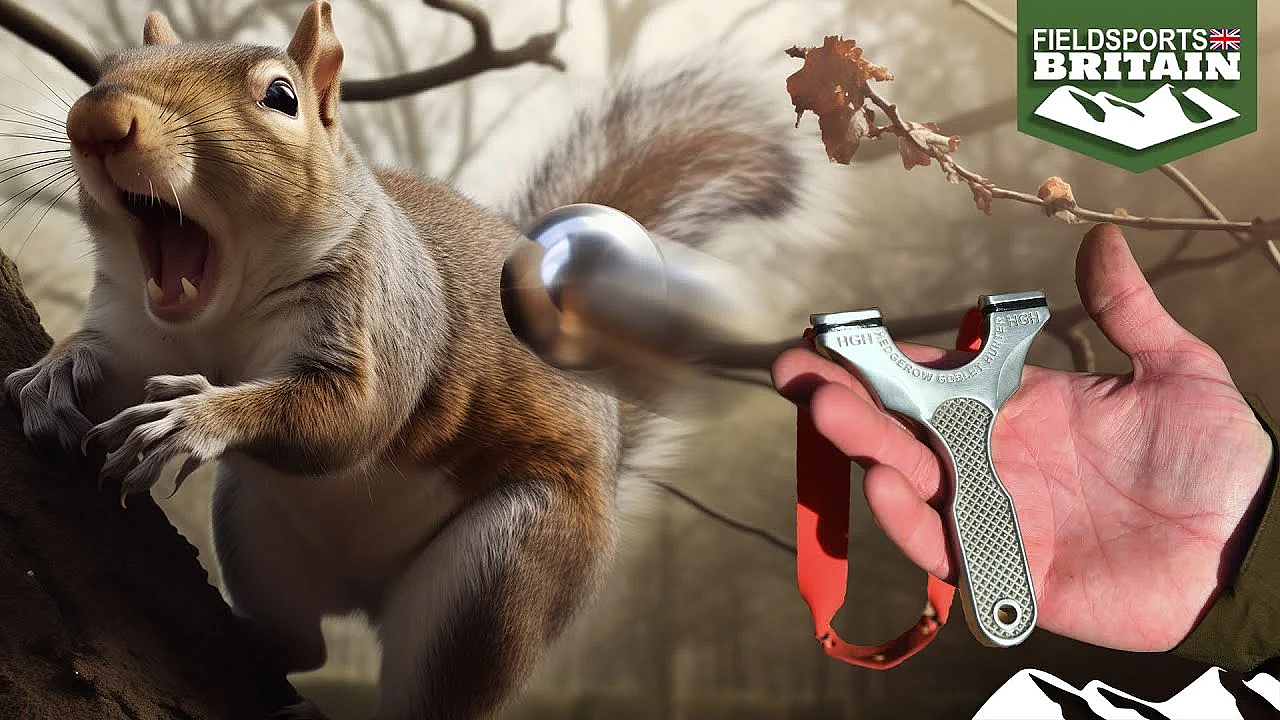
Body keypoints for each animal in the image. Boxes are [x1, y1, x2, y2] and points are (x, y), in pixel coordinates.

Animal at [4, 2, 837, 718]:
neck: (219, 313)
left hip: (507, 569)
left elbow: (351, 418)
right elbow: (103, 363)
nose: (98, 120)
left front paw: (195, 417)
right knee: (302, 645)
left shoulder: (380, 315)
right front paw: (52, 374)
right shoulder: (132, 328)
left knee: (434, 690)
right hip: (256, 530)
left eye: (281, 95)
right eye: (105, 69)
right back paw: (258, 640)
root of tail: (366, 597)